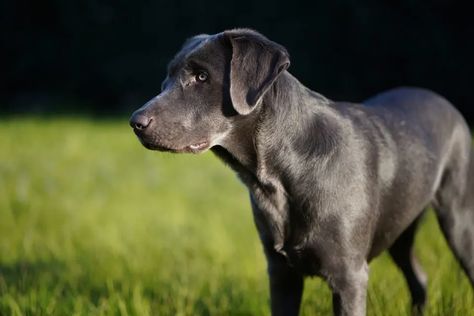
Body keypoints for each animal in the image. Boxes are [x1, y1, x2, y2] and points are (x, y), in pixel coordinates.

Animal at [128, 28, 472, 314]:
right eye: (167, 78)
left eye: (201, 76)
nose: (136, 122)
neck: (279, 175)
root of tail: (447, 104)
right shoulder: (281, 274)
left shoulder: (349, 277)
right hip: (400, 228)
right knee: (419, 278)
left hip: (459, 219)